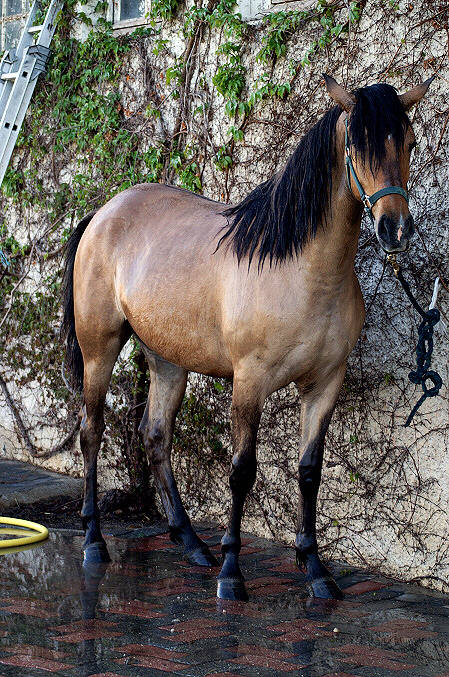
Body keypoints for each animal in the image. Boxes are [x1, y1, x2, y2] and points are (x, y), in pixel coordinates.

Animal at [61, 76, 432, 600]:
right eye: (355, 148)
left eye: (411, 143)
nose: (394, 229)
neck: (302, 270)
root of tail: (103, 213)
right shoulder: (250, 381)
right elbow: (241, 471)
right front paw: (232, 573)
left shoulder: (325, 384)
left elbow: (309, 472)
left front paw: (315, 570)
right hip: (100, 351)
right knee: (92, 433)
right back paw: (95, 541)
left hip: (168, 360)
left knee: (156, 436)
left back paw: (192, 544)